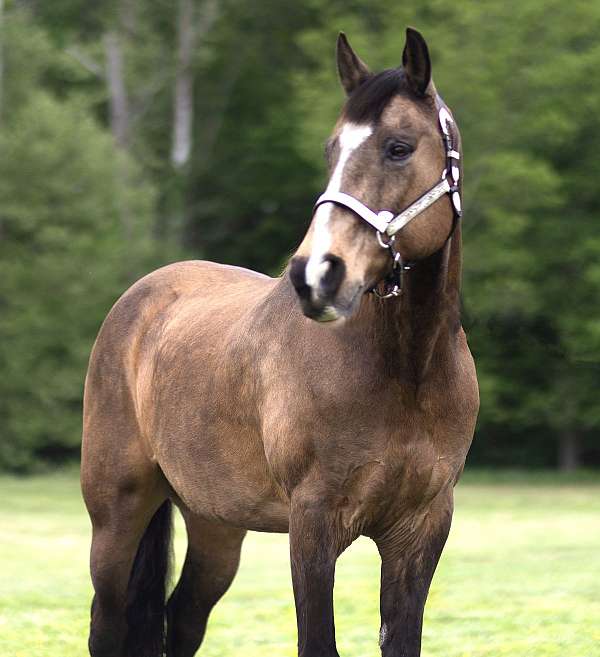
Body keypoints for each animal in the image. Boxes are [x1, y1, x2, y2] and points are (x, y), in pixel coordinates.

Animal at [82, 25, 480, 656]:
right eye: (331, 151)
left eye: (398, 147)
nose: (316, 274)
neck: (407, 373)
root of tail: (141, 297)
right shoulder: (313, 526)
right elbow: (318, 640)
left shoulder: (420, 530)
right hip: (117, 513)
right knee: (108, 623)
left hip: (215, 523)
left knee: (183, 617)